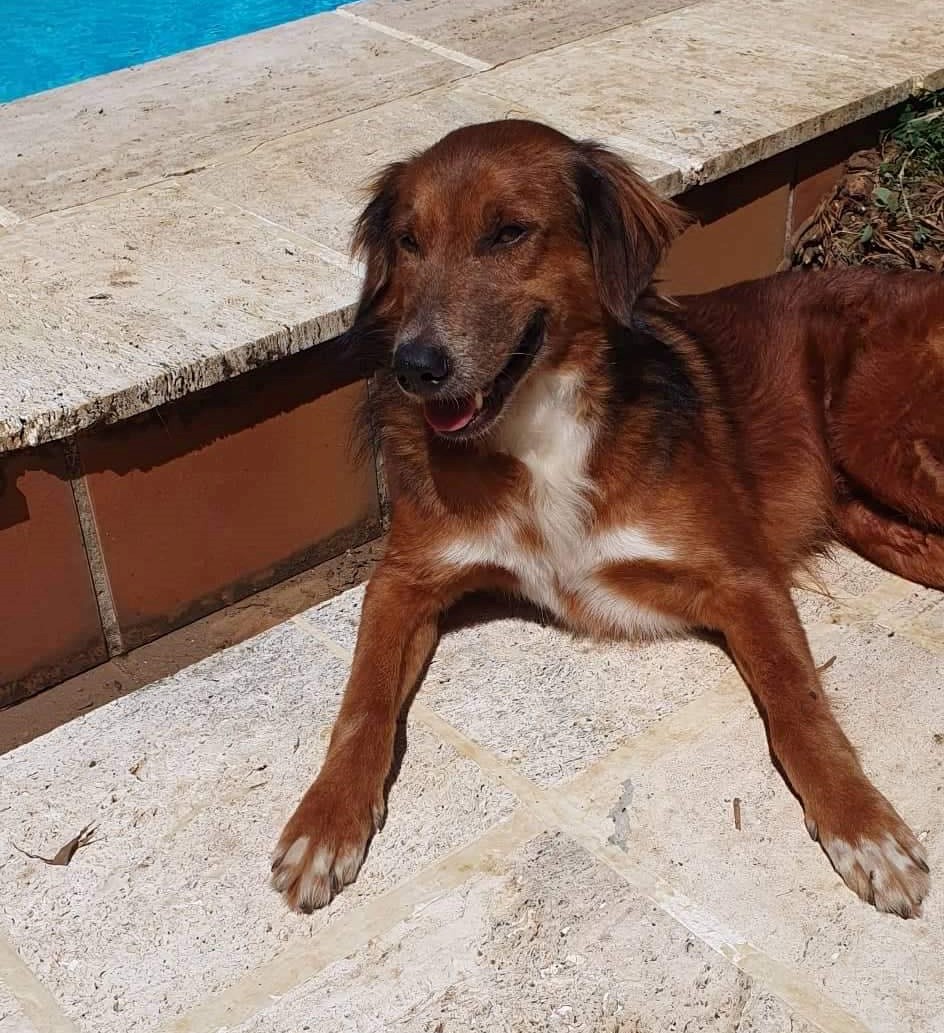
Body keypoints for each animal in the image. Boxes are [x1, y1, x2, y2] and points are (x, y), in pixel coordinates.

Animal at [268, 122, 937, 921]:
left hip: (874, 433)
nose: (415, 367)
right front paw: (326, 820)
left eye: (508, 232)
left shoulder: (742, 576)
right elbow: (362, 701)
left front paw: (862, 823)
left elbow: (798, 704)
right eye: (408, 241)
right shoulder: (404, 578)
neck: (540, 423)